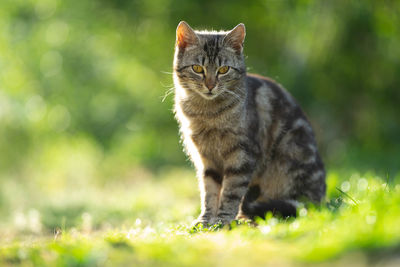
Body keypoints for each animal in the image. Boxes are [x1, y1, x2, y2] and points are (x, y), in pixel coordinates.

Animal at [172, 21, 324, 226]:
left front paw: (223, 221)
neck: (207, 114)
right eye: (197, 68)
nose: (210, 85)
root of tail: (319, 200)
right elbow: (209, 193)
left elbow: (231, 193)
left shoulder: (242, 156)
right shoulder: (206, 160)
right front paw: (206, 220)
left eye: (223, 70)